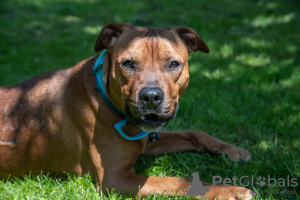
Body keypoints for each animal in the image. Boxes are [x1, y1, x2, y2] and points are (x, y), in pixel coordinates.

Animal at [0, 22, 253, 200]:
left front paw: (231, 149)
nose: (150, 96)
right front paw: (231, 191)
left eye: (173, 64)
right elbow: (181, 181)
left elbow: (194, 133)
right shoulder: (116, 178)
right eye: (128, 64)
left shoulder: (147, 138)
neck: (103, 95)